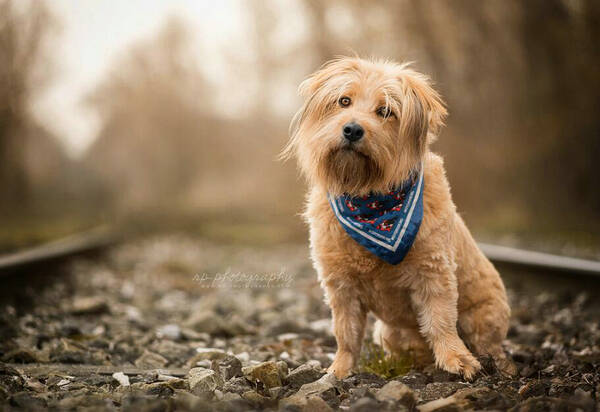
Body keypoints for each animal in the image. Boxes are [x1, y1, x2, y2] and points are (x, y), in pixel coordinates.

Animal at [284, 56, 512, 378]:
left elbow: (440, 321)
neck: (369, 201)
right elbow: (346, 333)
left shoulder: (434, 272)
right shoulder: (340, 285)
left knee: (485, 344)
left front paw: (456, 359)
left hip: (482, 317)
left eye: (385, 111)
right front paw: (338, 370)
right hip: (387, 332)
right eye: (344, 101)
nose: (352, 129)